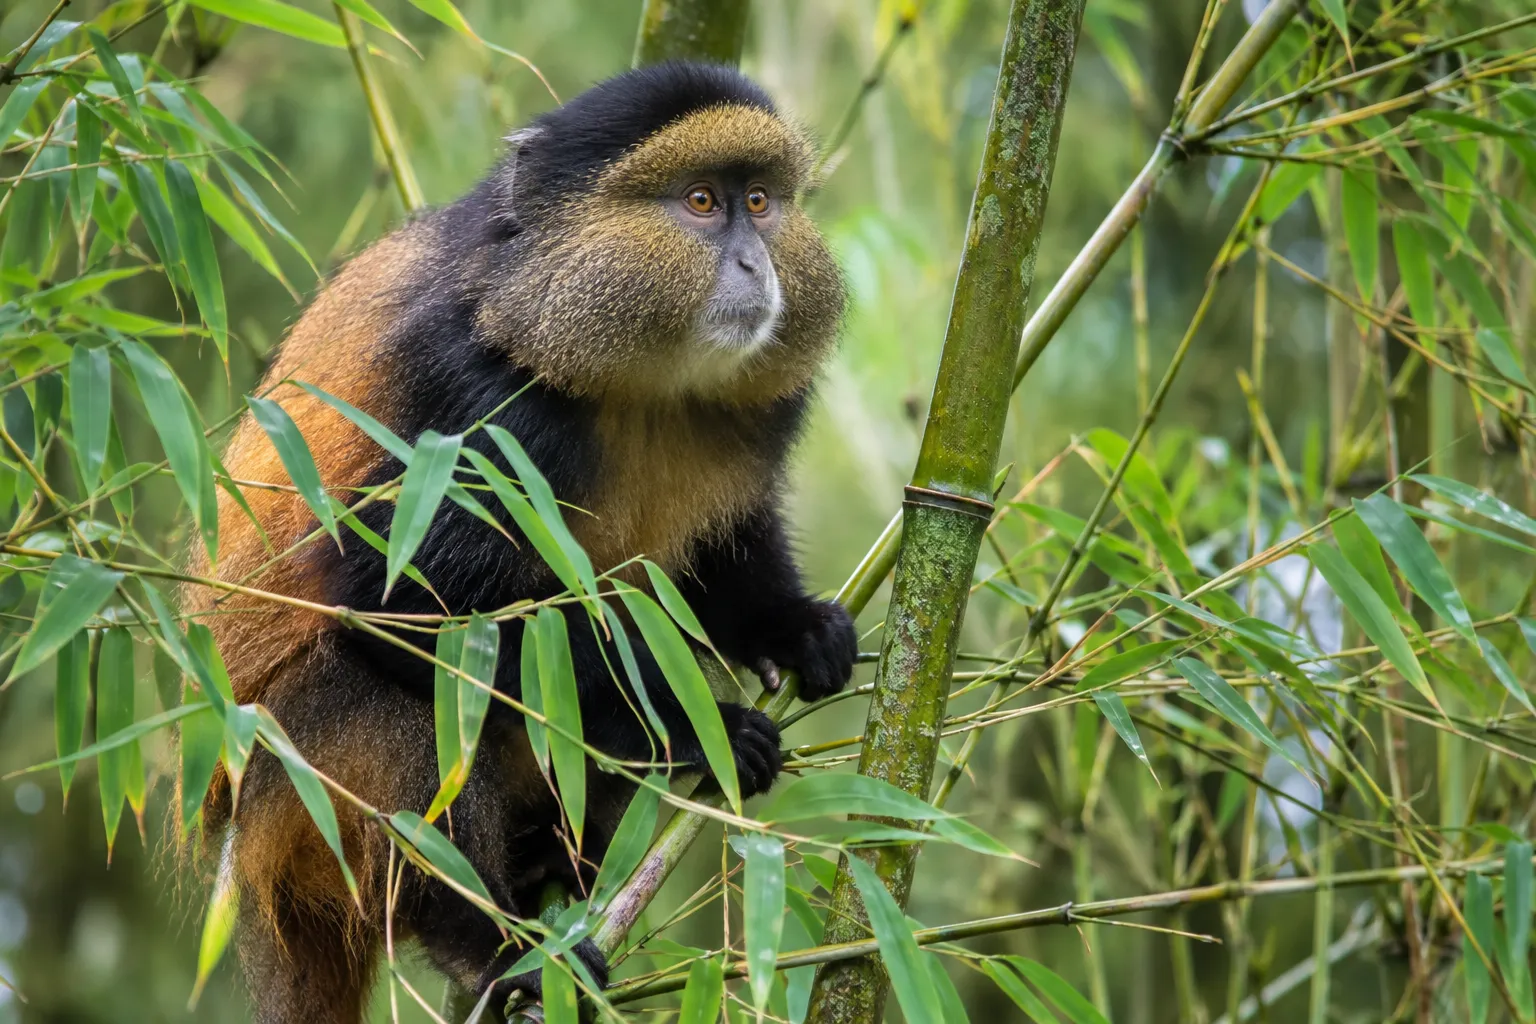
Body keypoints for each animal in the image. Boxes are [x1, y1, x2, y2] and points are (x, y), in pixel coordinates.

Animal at [182, 60, 856, 1023]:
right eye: (700, 202)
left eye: (759, 202)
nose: (754, 262)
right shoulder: (474, 400)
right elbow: (402, 609)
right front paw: (691, 725)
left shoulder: (760, 405)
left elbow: (721, 556)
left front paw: (791, 629)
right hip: (289, 806)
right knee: (396, 702)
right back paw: (495, 951)